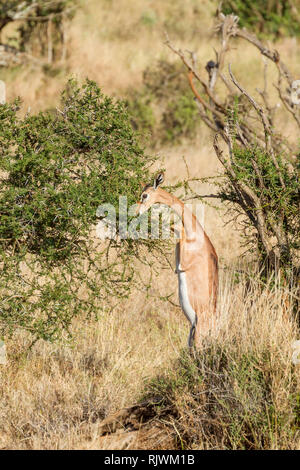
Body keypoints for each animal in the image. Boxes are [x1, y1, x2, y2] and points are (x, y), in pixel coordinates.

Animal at [138, 173, 218, 348]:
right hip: (191, 335)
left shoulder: (184, 263)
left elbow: (177, 229)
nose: (137, 211)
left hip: (198, 336)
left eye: (144, 195)